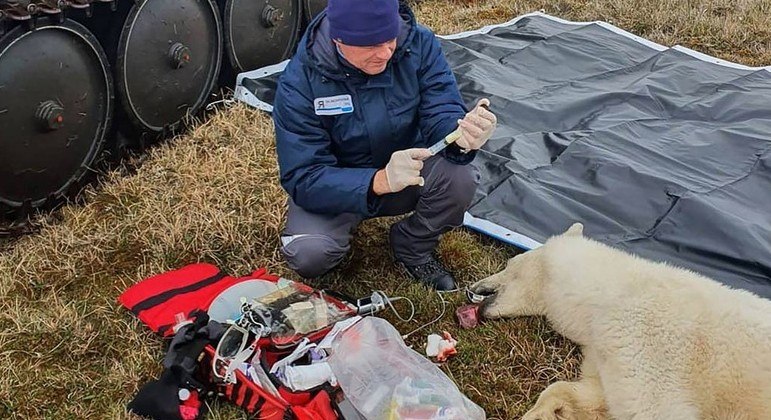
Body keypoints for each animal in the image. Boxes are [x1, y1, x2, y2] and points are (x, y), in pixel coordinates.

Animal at [470, 223, 771, 420]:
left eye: (509, 264)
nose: (474, 286)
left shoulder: (647, 340)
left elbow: (653, 408)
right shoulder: (603, 347)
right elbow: (595, 395)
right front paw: (542, 411)